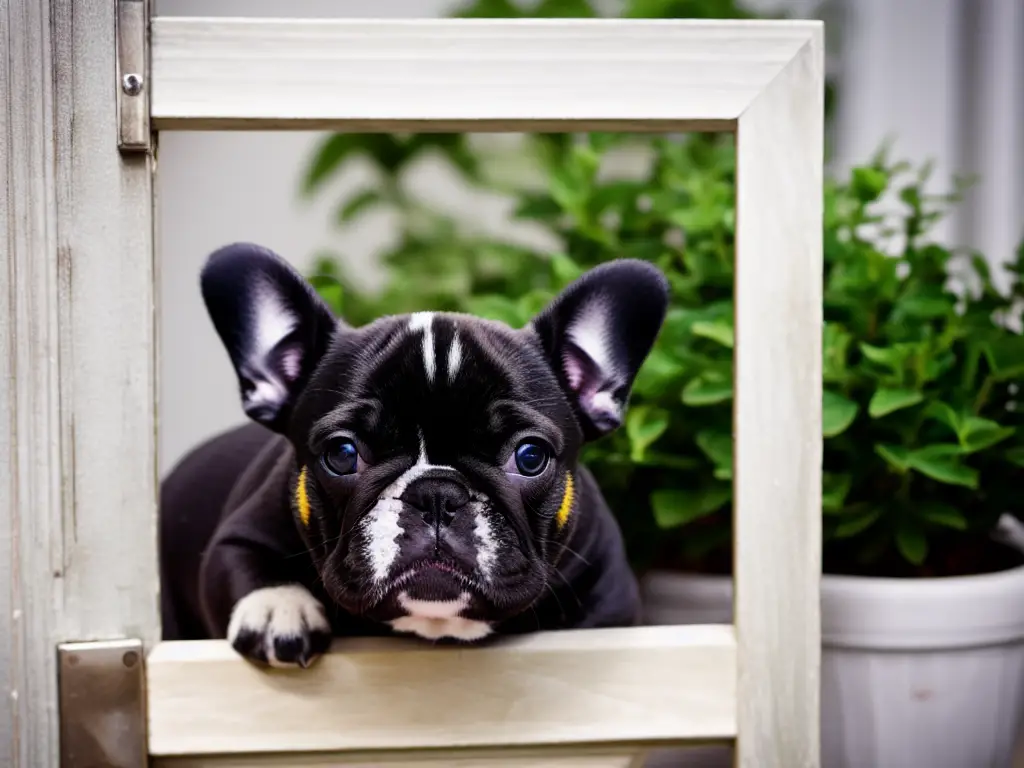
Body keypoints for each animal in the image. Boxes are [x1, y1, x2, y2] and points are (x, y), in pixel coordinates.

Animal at [157, 241, 671, 667]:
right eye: (342, 454)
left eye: (530, 457)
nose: (438, 494)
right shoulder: (241, 532)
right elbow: (241, 562)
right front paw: (279, 607)